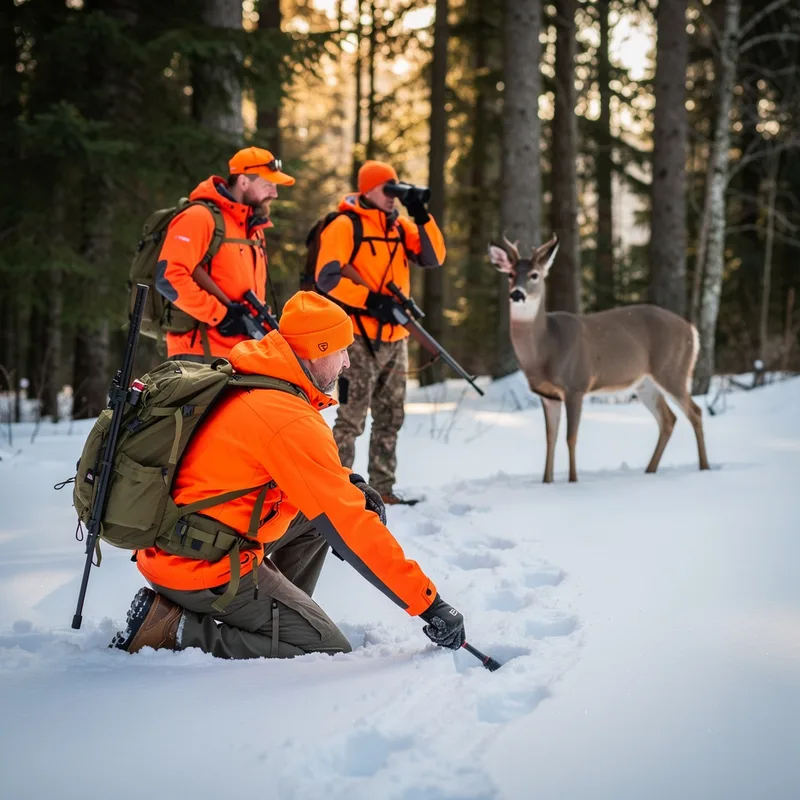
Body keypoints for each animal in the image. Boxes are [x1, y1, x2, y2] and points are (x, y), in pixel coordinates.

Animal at [488, 234, 710, 483]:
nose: (517, 293)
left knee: (695, 412)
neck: (547, 346)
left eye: (535, 274)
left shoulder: (576, 385)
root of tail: (692, 330)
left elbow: (571, 437)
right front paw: (547, 482)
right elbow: (550, 438)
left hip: (672, 369)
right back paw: (650, 471)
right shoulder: (548, 395)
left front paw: (572, 480)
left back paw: (704, 468)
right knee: (668, 420)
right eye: (510, 274)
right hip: (645, 383)